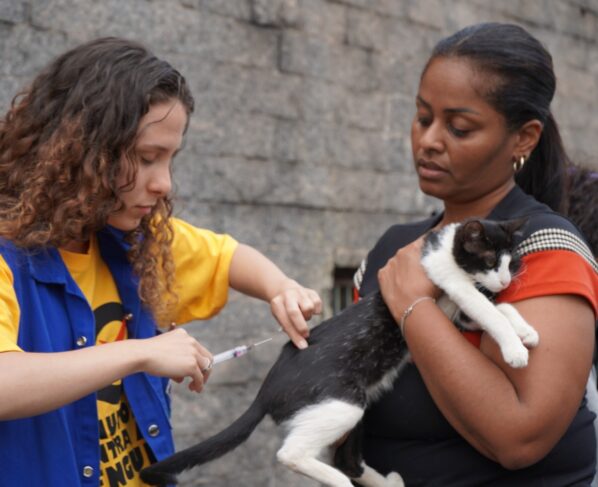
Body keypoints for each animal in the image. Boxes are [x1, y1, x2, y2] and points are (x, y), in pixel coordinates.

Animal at [140, 218, 539, 487]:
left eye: (511, 263)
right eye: (489, 260)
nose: (505, 281)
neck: (445, 251)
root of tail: (266, 390)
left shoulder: (456, 315)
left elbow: (499, 310)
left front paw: (526, 331)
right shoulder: (449, 282)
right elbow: (487, 309)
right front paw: (514, 350)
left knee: (347, 458)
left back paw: (387, 482)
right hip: (344, 402)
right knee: (291, 453)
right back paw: (337, 481)